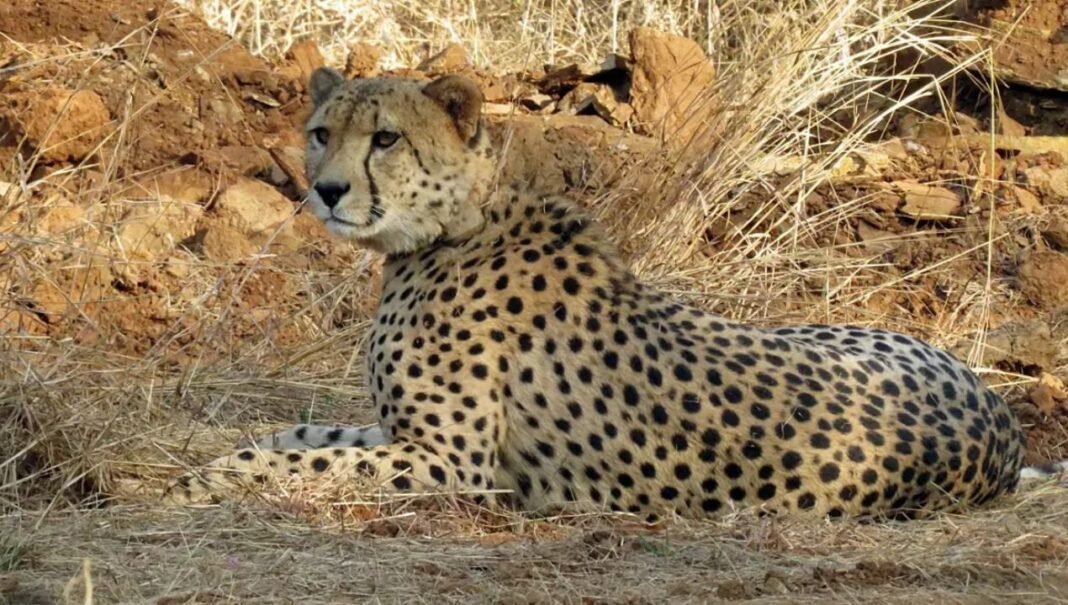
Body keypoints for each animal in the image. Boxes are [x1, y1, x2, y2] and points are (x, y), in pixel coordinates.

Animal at [163, 67, 1052, 521]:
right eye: (322, 133)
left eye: (385, 138)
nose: (328, 190)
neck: (452, 226)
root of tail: (1003, 423)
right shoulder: (403, 432)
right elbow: (300, 432)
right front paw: (206, 457)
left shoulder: (455, 461)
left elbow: (302, 459)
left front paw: (201, 482)